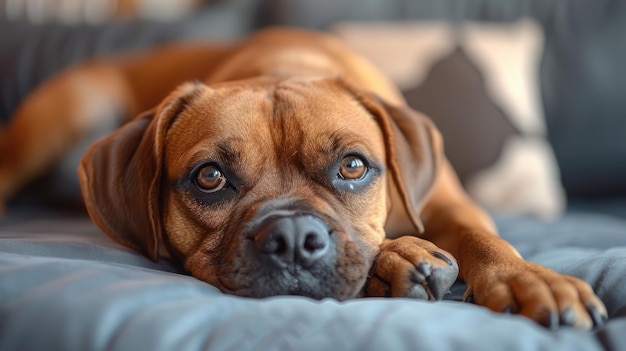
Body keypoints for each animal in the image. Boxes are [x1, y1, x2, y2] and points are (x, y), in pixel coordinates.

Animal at [0, 27, 604, 330]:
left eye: (353, 166)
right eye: (210, 177)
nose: (292, 238)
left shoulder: (449, 203)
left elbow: (483, 238)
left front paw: (527, 278)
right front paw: (398, 261)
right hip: (71, 107)